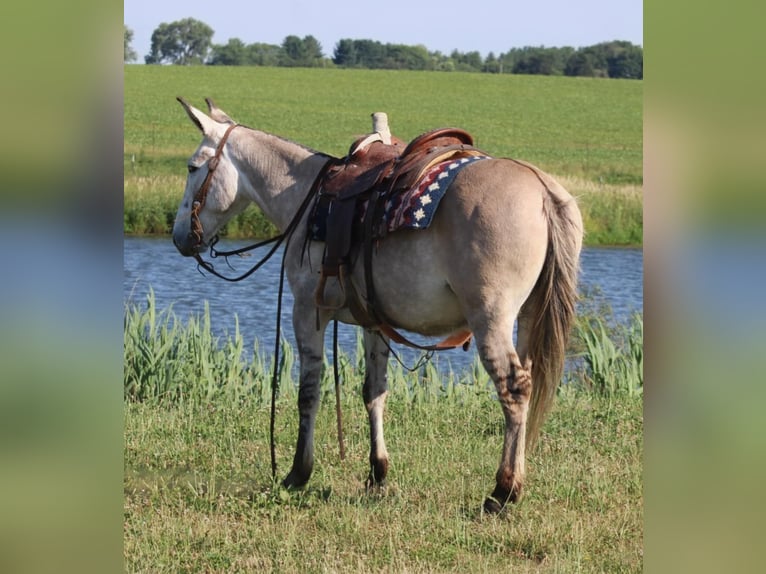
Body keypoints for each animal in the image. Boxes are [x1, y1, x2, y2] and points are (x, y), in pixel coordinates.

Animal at [171, 97, 583, 514]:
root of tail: (541, 187)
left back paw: (503, 490)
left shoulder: (307, 312)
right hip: (529, 316)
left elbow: (309, 391)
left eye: (192, 167)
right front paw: (377, 474)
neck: (307, 199)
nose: (179, 237)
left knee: (513, 389)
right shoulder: (374, 321)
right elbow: (375, 392)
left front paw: (298, 473)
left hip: (491, 319)